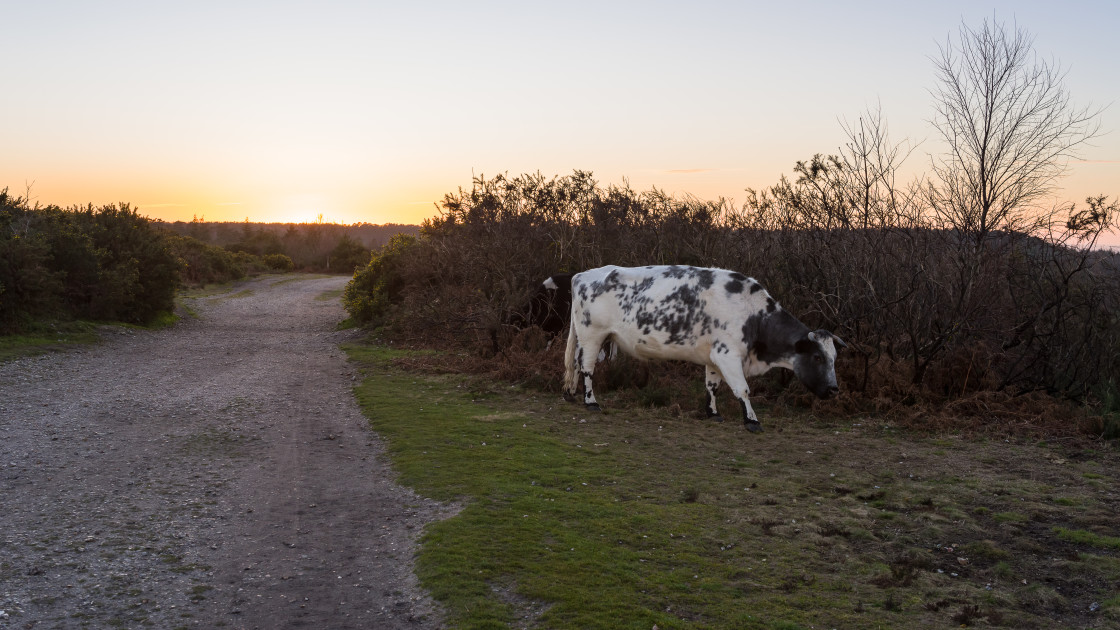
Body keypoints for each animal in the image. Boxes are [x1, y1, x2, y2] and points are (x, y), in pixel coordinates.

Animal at [564, 262, 842, 428]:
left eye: (834, 358)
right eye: (817, 357)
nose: (834, 389)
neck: (754, 314)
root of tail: (582, 274)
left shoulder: (714, 357)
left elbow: (712, 386)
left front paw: (713, 412)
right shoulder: (728, 356)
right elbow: (742, 389)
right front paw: (751, 420)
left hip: (588, 338)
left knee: (575, 364)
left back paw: (570, 393)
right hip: (592, 336)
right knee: (587, 368)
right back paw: (591, 402)